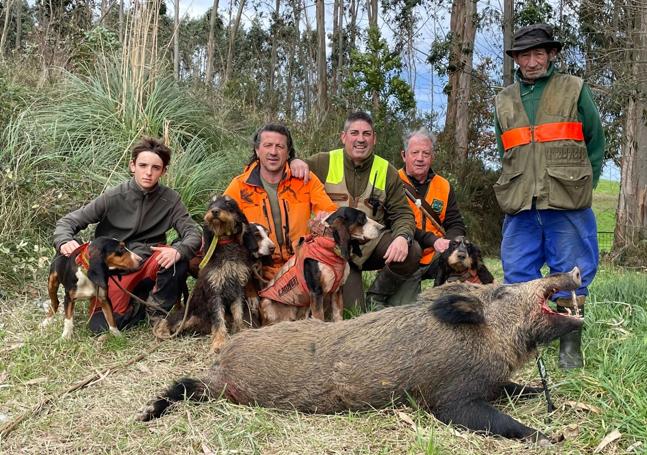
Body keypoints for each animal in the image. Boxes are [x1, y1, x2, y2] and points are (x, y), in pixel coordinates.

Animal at [155, 195, 276, 352]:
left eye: (228, 203)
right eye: (211, 203)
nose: (214, 211)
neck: (226, 245)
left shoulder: (236, 290)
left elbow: (238, 314)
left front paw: (241, 331)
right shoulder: (215, 292)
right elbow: (218, 319)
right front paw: (219, 343)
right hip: (187, 314)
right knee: (169, 320)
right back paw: (162, 331)